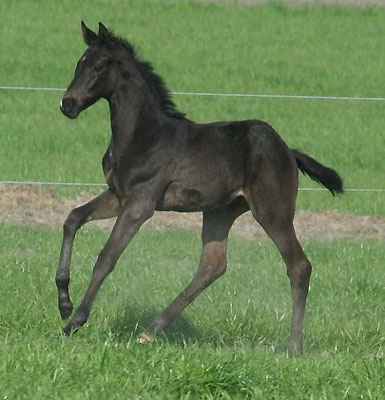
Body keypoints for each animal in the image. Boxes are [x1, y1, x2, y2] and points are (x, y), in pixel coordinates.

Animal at [57, 21, 342, 354]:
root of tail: (288, 151)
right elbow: (73, 218)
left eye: (99, 65)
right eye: (79, 63)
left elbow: (106, 257)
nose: (67, 104)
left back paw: (294, 346)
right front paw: (63, 302)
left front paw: (74, 321)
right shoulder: (118, 195)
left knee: (299, 266)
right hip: (220, 211)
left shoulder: (140, 203)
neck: (143, 135)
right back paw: (150, 331)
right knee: (212, 266)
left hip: (273, 211)